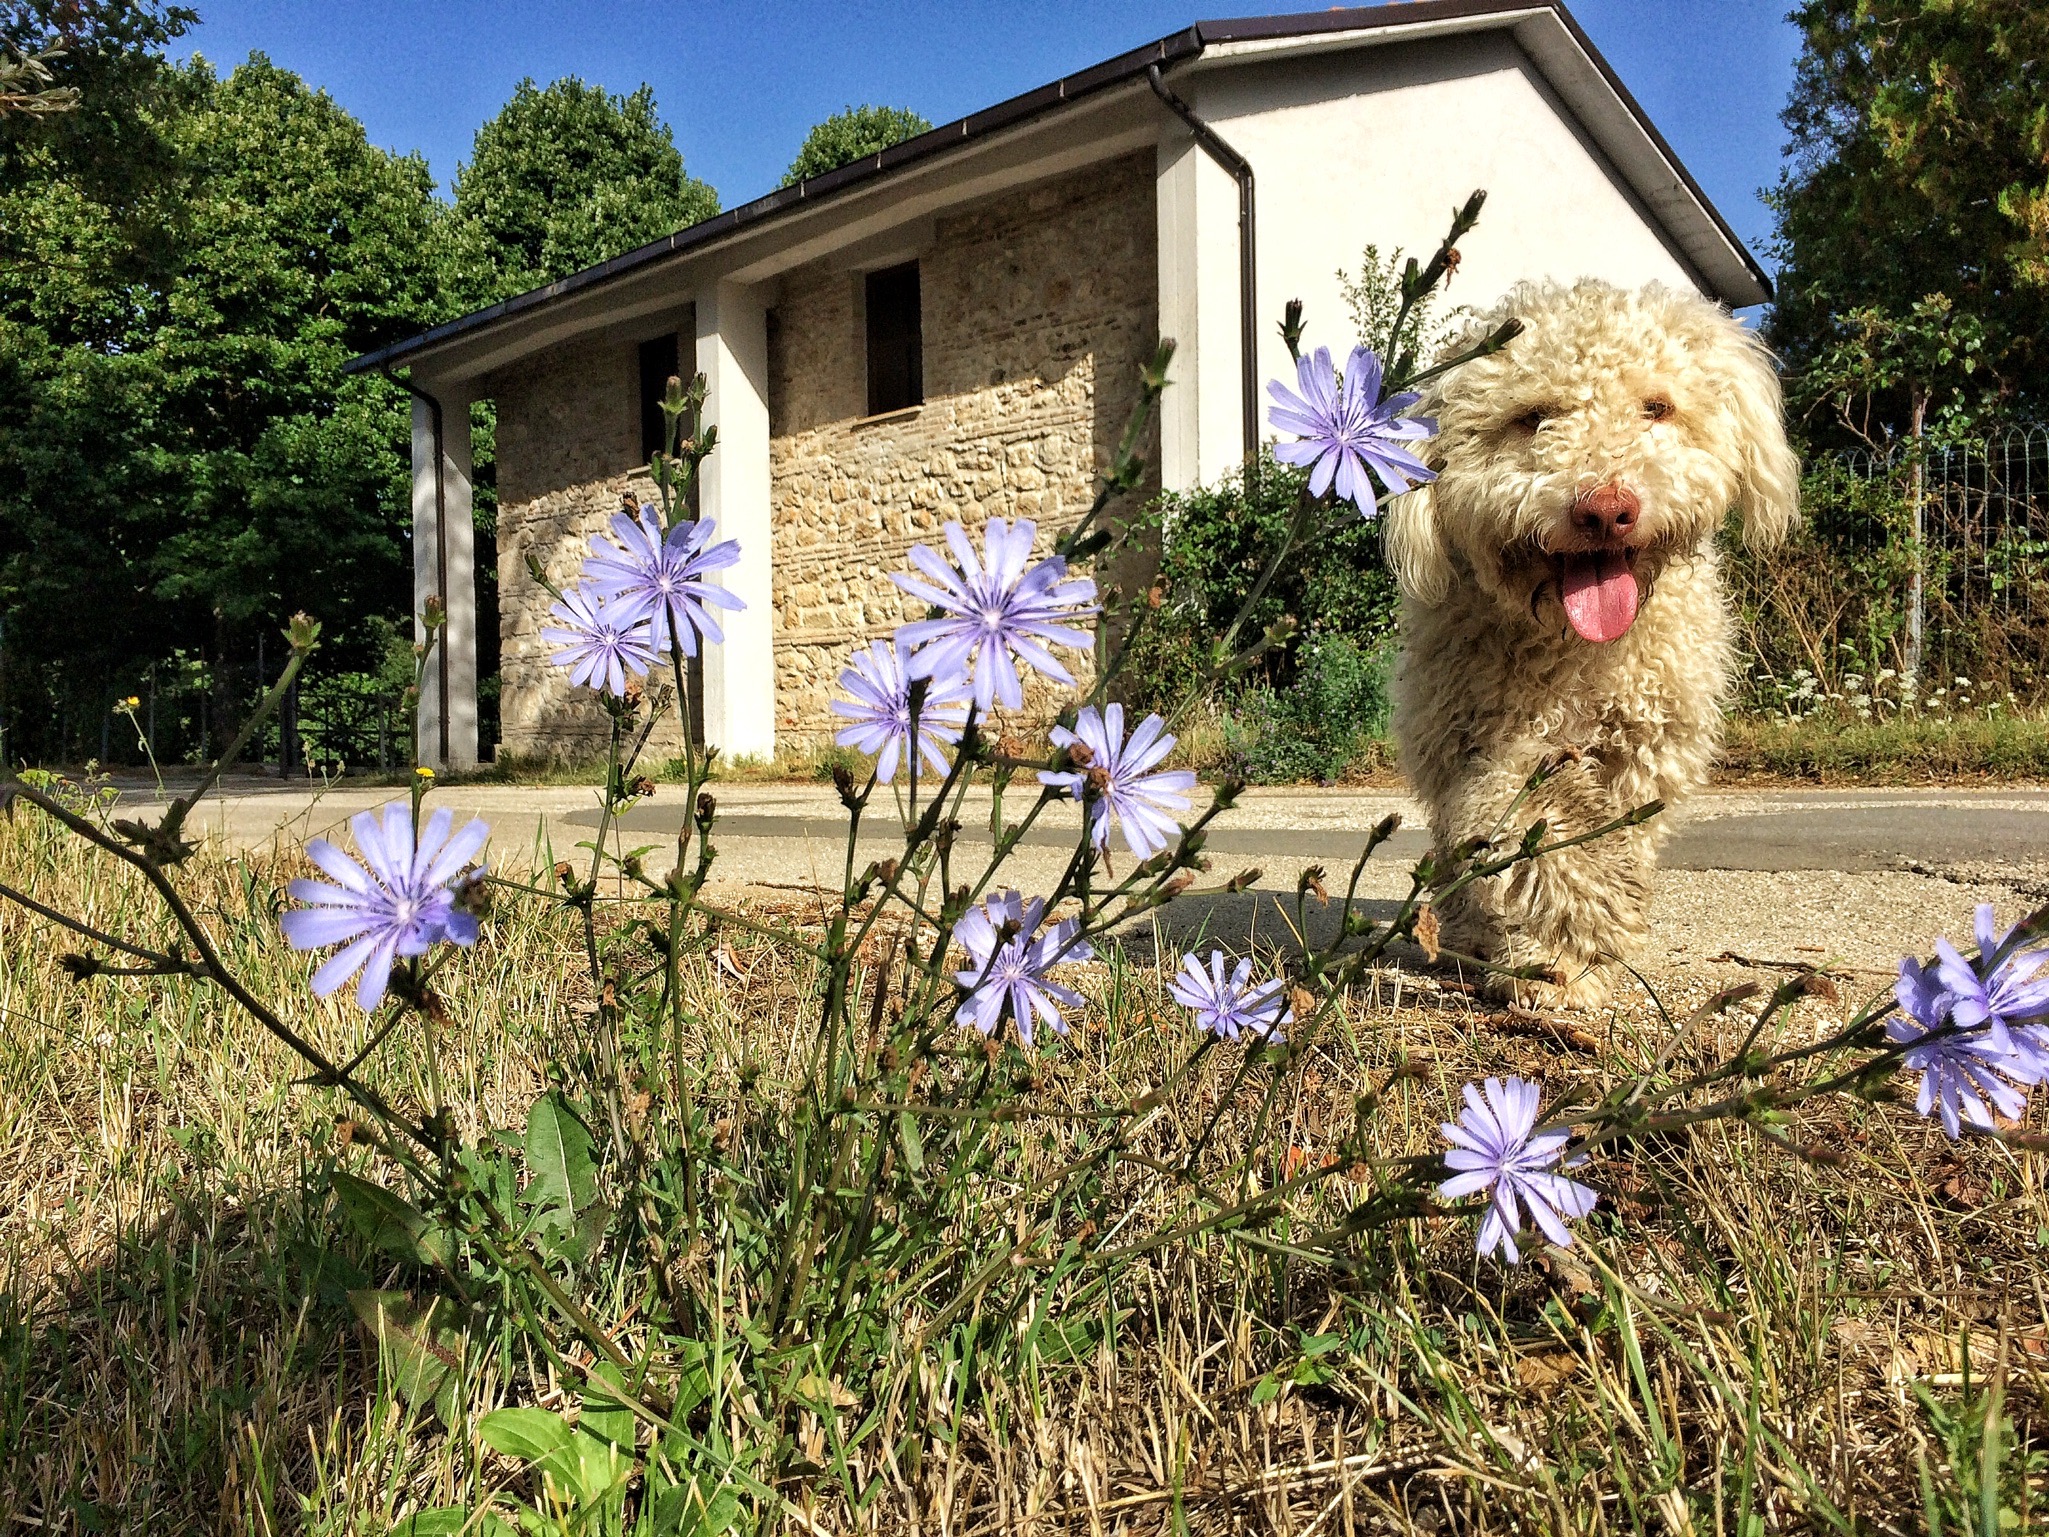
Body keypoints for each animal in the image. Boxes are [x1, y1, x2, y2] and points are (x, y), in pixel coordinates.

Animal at [1385, 280, 1803, 1012]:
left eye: (1656, 407)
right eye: (1531, 418)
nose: (1605, 510)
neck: (1574, 651)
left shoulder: (1645, 747)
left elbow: (1612, 837)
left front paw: (1582, 949)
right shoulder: (1489, 746)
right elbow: (1541, 830)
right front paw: (1558, 960)